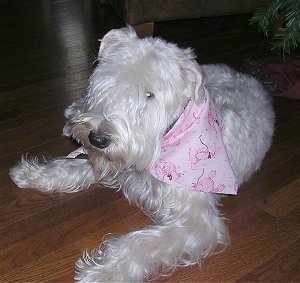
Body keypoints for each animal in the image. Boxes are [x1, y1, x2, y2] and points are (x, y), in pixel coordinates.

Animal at [9, 27, 274, 283]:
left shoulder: (198, 223)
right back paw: (71, 117)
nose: (98, 139)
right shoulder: (113, 162)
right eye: (109, 82)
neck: (167, 139)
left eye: (150, 95)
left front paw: (102, 271)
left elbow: (141, 244)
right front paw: (32, 174)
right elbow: (69, 166)